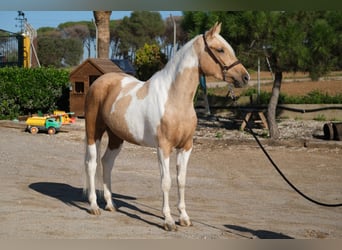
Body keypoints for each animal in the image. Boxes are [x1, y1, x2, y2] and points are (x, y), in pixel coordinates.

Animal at [83, 22, 248, 231]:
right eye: (220, 50)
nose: (245, 77)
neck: (174, 99)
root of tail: (98, 82)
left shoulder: (186, 147)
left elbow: (181, 180)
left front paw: (184, 218)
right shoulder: (164, 148)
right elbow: (166, 182)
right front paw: (168, 220)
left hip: (116, 137)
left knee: (107, 163)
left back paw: (110, 204)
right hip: (93, 131)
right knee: (92, 164)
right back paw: (94, 206)